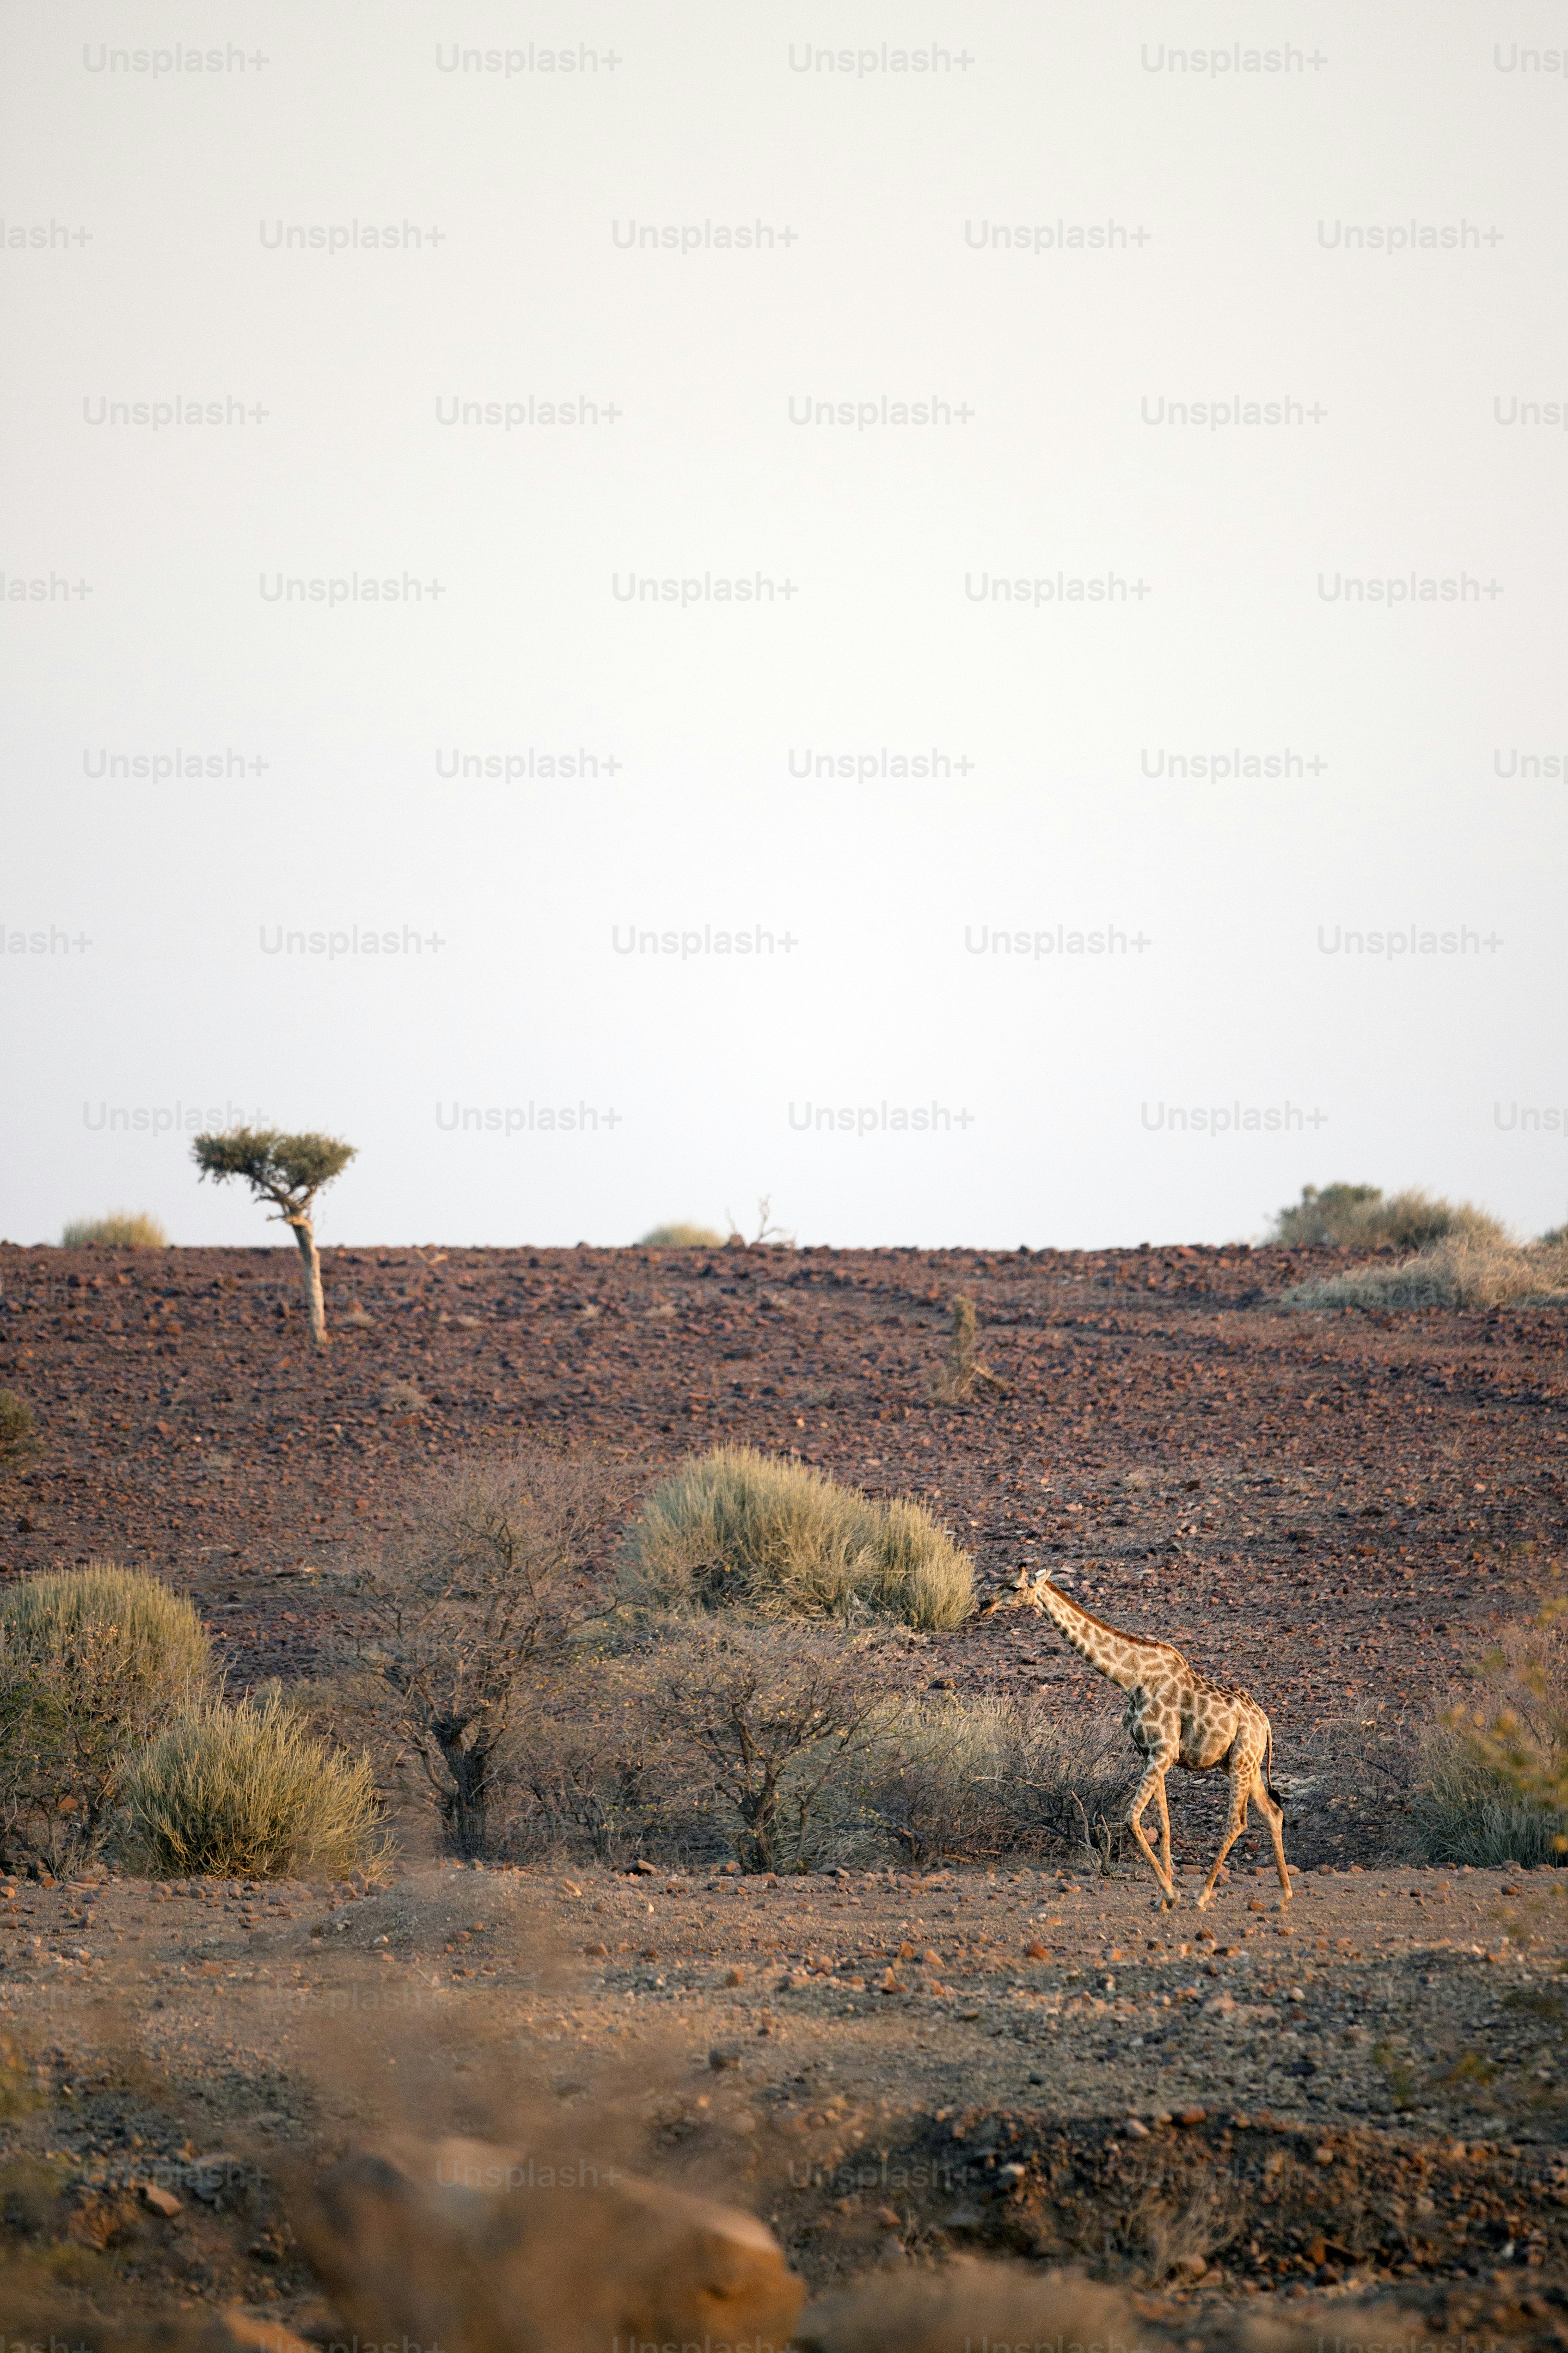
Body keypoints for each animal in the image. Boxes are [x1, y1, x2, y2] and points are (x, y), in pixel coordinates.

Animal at [981, 1567, 1290, 1908]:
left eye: (1014, 1586)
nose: (984, 1604)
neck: (1131, 1680)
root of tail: (1265, 1722)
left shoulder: (1164, 1751)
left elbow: (1132, 1818)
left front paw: (1170, 1893)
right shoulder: (1152, 1754)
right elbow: (1165, 1824)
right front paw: (1164, 1899)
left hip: (1241, 1762)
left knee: (1237, 1821)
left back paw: (1203, 1896)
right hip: (1243, 1763)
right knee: (1273, 1813)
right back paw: (1283, 1897)